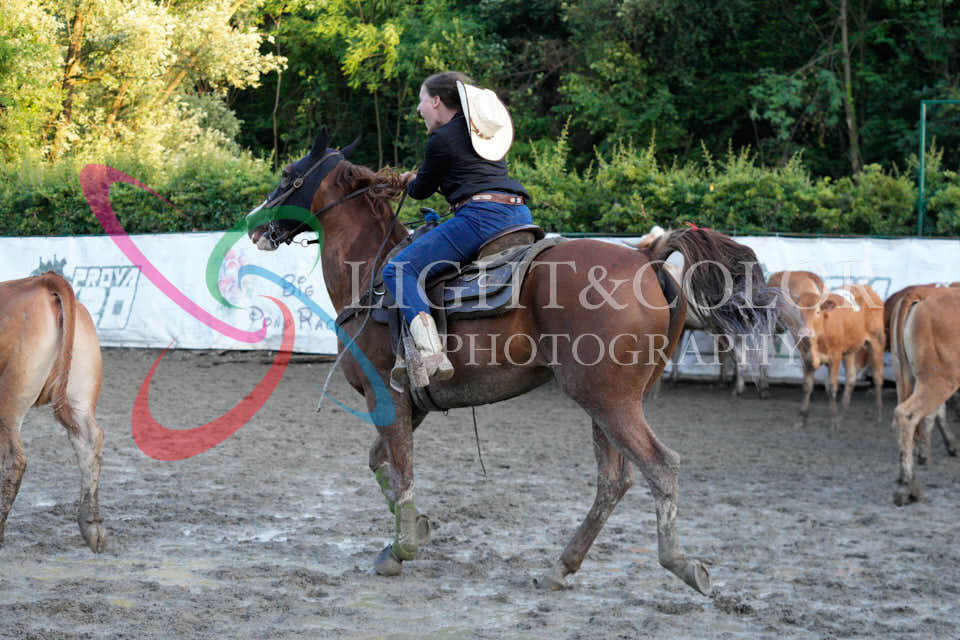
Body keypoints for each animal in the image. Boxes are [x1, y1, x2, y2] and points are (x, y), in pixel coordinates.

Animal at [0, 272, 106, 552]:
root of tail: (42, 282)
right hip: (80, 397)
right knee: (89, 440)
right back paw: (92, 527)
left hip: (10, 394)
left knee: (14, 459)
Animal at [245, 129, 790, 594]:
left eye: (290, 173)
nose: (253, 224)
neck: (372, 272)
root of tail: (648, 257)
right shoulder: (413, 404)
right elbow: (382, 464)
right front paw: (416, 530)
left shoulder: (388, 395)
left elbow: (400, 470)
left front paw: (400, 551)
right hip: (608, 400)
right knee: (614, 480)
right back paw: (561, 567)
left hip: (607, 400)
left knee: (660, 467)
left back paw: (680, 565)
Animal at [794, 283, 884, 429]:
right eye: (798, 311)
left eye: (817, 312)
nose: (805, 333)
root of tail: (866, 287)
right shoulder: (805, 359)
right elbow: (807, 386)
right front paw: (802, 417)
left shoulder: (835, 357)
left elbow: (831, 386)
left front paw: (834, 419)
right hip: (850, 350)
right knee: (851, 377)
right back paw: (843, 413)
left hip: (877, 341)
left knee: (877, 378)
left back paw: (879, 413)